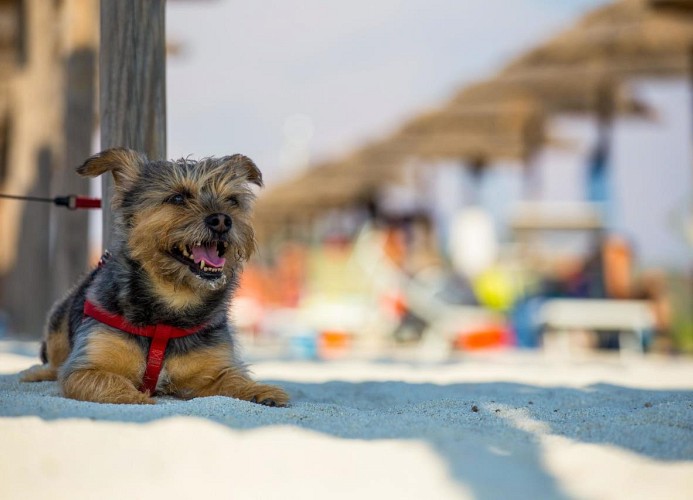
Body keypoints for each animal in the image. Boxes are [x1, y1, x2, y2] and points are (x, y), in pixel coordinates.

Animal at [20, 147, 286, 406]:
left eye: (232, 200)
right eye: (177, 198)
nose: (222, 219)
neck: (172, 305)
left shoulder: (214, 369)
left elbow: (233, 379)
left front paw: (260, 390)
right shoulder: (85, 368)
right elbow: (107, 382)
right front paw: (135, 397)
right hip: (58, 323)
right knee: (53, 363)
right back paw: (36, 373)